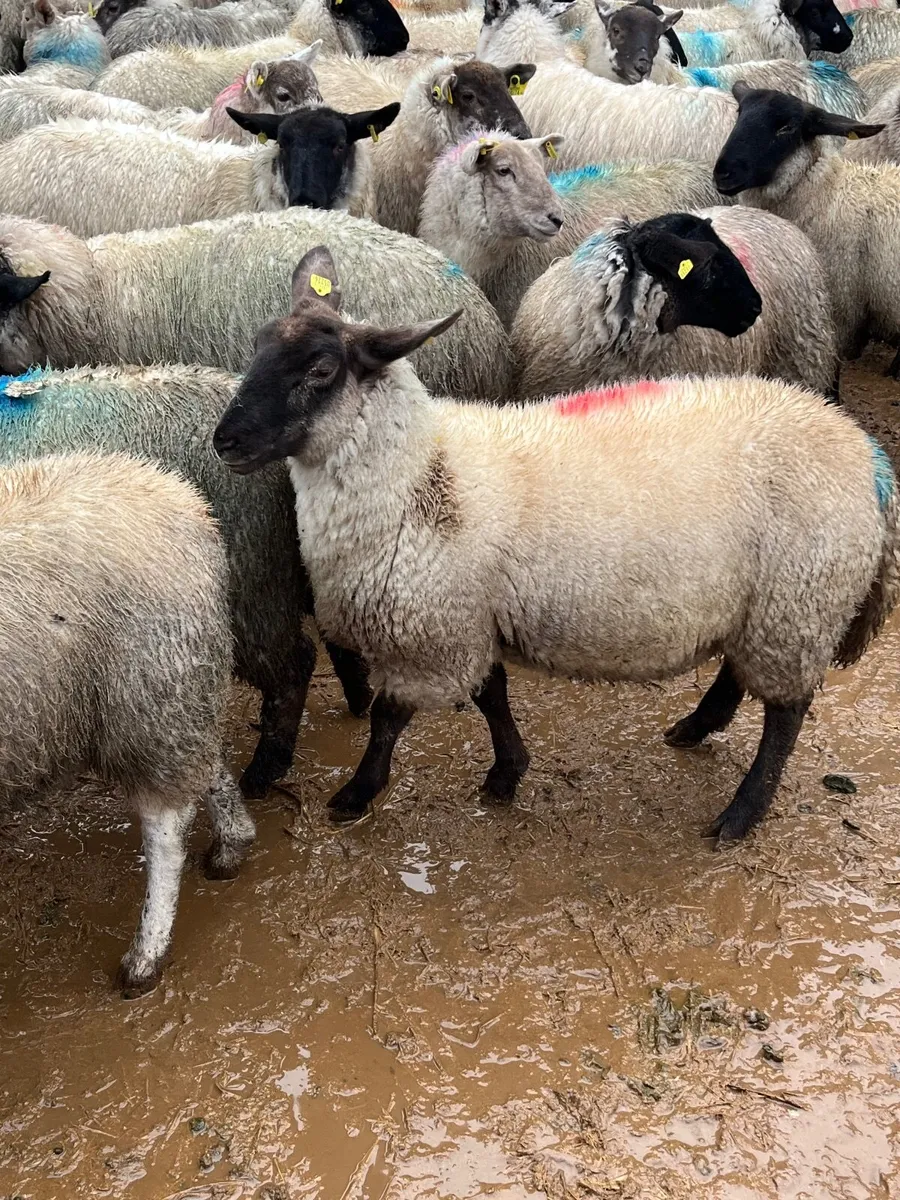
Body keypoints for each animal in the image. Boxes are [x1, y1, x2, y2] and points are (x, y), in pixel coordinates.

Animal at [0, 450, 256, 996]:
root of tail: (187, 503)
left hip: (146, 690)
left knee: (166, 829)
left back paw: (146, 955)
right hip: (173, 688)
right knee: (205, 759)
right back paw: (233, 843)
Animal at [213, 243, 900, 843]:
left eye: (321, 370)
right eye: (255, 349)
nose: (226, 442)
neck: (420, 471)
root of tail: (865, 457)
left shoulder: (431, 631)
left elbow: (388, 719)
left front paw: (358, 792)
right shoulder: (473, 614)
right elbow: (491, 696)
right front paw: (505, 773)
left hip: (798, 601)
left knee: (785, 716)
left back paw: (740, 814)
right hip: (764, 606)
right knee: (737, 674)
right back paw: (695, 728)